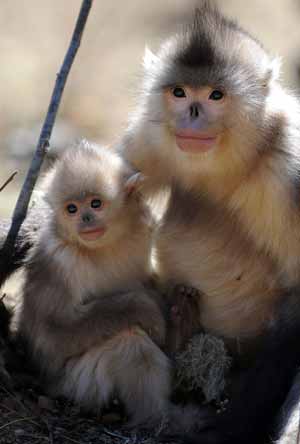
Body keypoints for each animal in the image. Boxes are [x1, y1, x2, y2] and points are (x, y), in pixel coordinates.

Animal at [19, 141, 171, 426]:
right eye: (72, 209)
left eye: (95, 203)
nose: (85, 218)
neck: (103, 247)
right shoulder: (59, 261)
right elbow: (54, 334)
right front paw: (149, 310)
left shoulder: (145, 226)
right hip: (76, 385)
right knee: (130, 340)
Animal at [118, 1, 300, 442]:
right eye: (180, 92)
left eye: (216, 95)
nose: (193, 113)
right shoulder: (150, 136)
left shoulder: (290, 167)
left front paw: (231, 427)